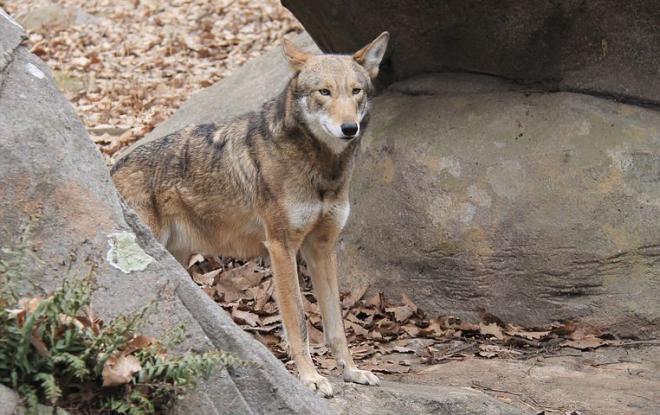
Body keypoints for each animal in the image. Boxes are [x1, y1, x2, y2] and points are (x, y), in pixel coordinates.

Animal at [111, 31, 390, 397]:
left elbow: (336, 326)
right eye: (324, 92)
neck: (322, 170)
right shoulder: (282, 249)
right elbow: (298, 322)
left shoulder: (321, 249)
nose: (349, 128)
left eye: (355, 91)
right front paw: (310, 378)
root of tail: (112, 167)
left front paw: (352, 371)